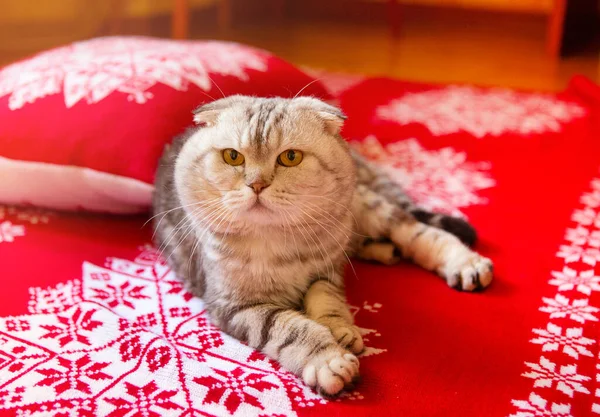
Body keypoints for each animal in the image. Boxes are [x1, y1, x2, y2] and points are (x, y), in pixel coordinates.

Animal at [151, 95, 492, 396]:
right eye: (232, 156)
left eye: (290, 157)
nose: (257, 184)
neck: (276, 239)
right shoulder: (236, 304)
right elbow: (292, 329)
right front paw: (330, 359)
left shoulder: (326, 269)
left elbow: (326, 299)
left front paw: (342, 331)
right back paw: (385, 252)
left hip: (367, 209)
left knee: (421, 233)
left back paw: (465, 263)